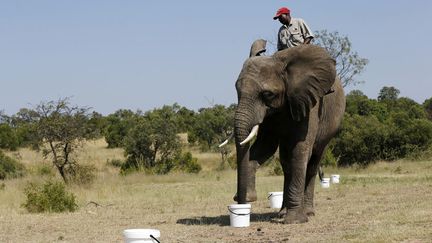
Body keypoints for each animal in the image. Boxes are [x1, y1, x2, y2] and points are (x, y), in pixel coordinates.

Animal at [231, 39, 346, 224]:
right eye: (237, 91)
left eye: (267, 94)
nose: (240, 202)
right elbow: (263, 148)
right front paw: (249, 197)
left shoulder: (309, 103)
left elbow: (300, 150)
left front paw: (294, 220)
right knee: (286, 164)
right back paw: (282, 213)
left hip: (330, 128)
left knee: (313, 161)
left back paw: (307, 213)